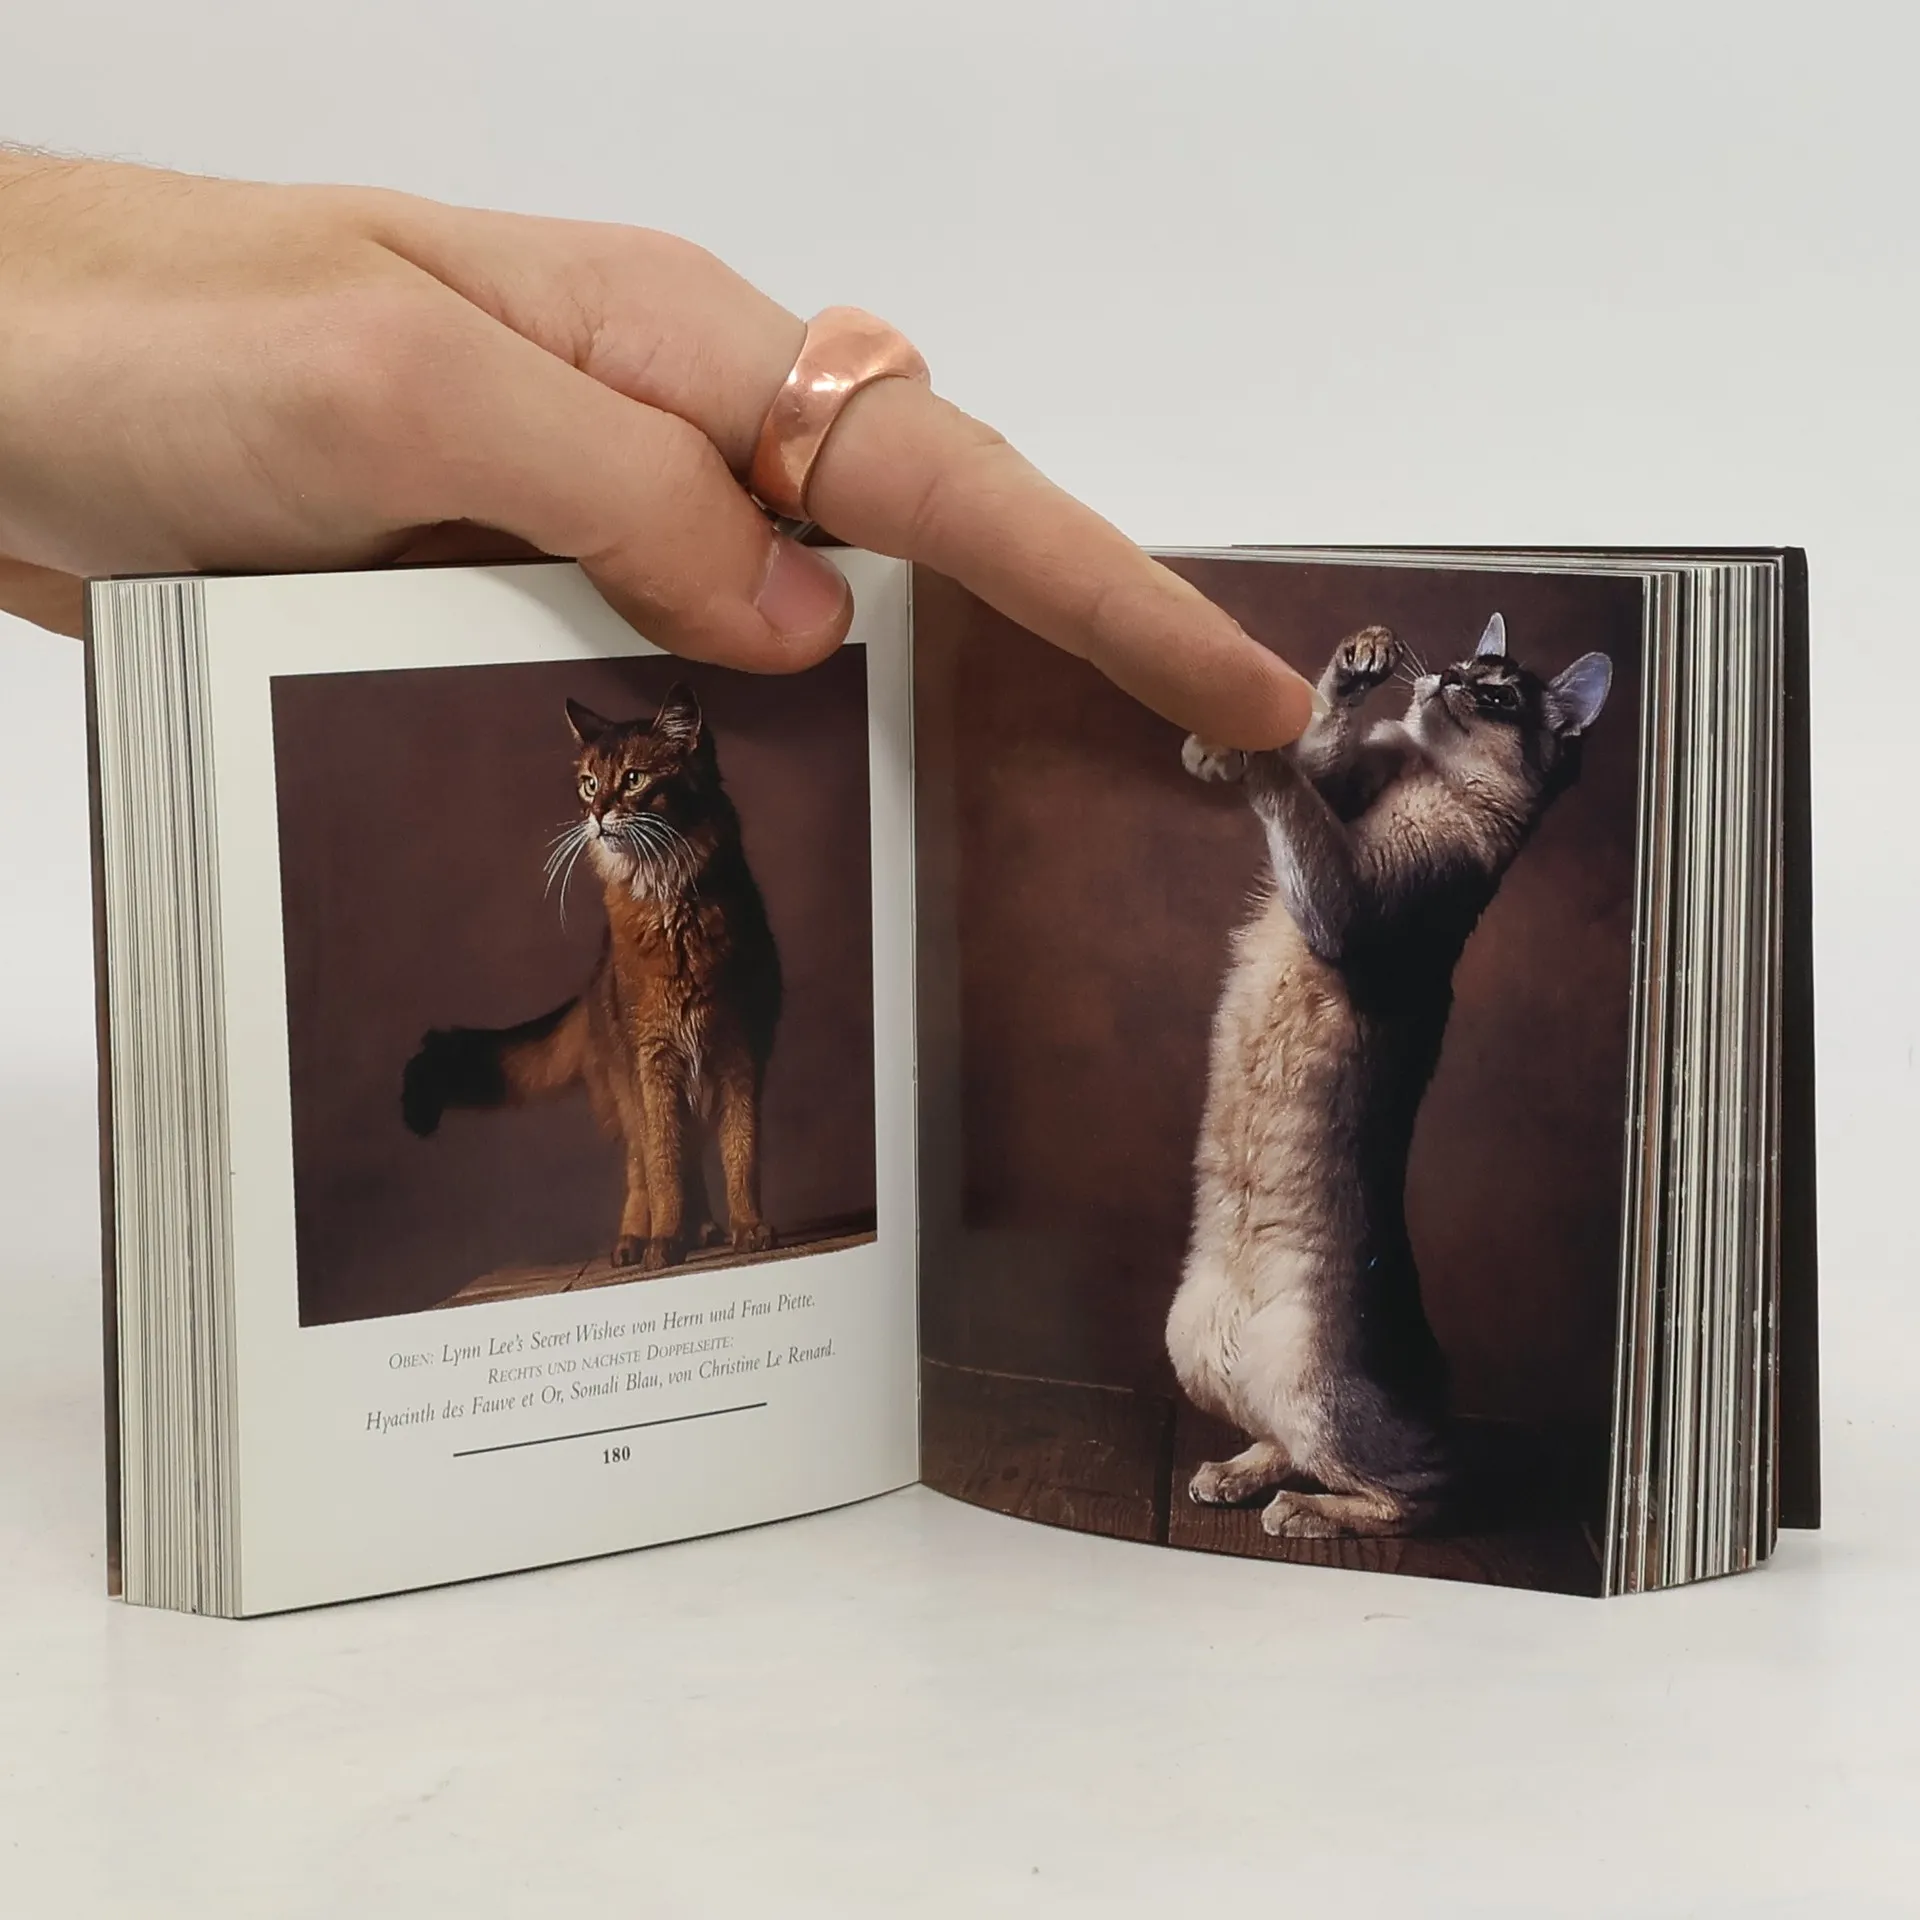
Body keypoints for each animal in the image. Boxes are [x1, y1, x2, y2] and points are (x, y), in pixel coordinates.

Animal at [401, 684, 782, 1274]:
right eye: (588, 784)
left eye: (634, 779)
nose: (598, 814)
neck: (669, 905)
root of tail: (594, 977)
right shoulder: (653, 1061)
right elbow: (663, 1167)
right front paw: (663, 1241)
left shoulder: (738, 1053)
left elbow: (741, 1154)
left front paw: (749, 1228)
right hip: (626, 1084)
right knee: (642, 1168)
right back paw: (638, 1239)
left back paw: (701, 1228)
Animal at [1164, 614, 1612, 1538]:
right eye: (1465, 664)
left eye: (1495, 694)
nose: (1444, 678)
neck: (1427, 774)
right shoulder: (1347, 777)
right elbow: (1317, 750)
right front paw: (1356, 662)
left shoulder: (1350, 906)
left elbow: (1292, 792)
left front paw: (1238, 750)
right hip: (1189, 1342)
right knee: (1284, 1440)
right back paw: (1232, 1473)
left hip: (1317, 1392)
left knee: (1415, 1498)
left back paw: (1303, 1512)